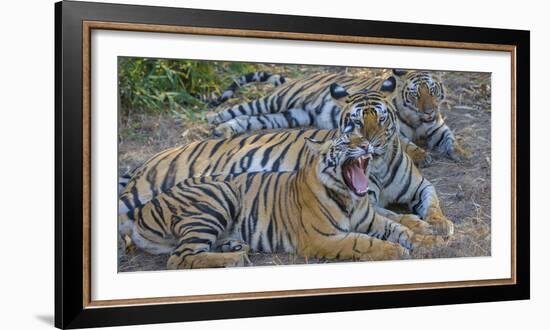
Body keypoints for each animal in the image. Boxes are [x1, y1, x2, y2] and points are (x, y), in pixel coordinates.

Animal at [118, 134, 442, 268]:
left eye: (361, 138)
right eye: (344, 142)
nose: (366, 145)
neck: (349, 197)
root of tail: (140, 211)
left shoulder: (373, 219)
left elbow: (402, 228)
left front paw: (431, 241)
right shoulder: (323, 238)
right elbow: (363, 242)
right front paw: (395, 251)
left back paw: (235, 248)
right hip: (217, 196)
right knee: (179, 258)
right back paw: (234, 259)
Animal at [122, 89, 458, 236]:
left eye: (381, 119)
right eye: (356, 123)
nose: (368, 144)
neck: (380, 165)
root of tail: (149, 159)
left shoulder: (421, 186)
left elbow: (434, 203)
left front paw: (441, 223)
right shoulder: (367, 202)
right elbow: (396, 215)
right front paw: (419, 224)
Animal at [207, 68, 470, 165]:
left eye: (433, 91)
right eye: (416, 94)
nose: (429, 111)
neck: (417, 120)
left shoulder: (438, 128)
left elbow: (450, 138)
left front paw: (461, 152)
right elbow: (409, 145)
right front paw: (422, 156)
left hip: (289, 116)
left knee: (250, 119)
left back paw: (224, 129)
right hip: (276, 101)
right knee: (242, 108)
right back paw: (214, 119)